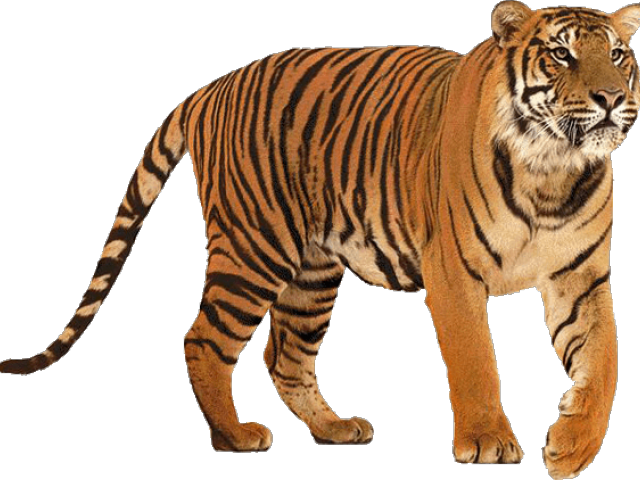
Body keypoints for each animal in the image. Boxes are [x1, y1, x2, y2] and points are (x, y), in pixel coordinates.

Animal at [2, 1, 638, 478]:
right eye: (561, 54)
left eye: (616, 55)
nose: (610, 98)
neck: (553, 170)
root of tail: (212, 86)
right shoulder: (453, 272)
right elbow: (476, 357)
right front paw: (486, 441)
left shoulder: (581, 277)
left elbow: (604, 362)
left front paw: (573, 448)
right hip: (254, 248)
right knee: (203, 340)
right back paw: (235, 436)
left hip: (311, 272)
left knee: (283, 356)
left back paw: (334, 429)